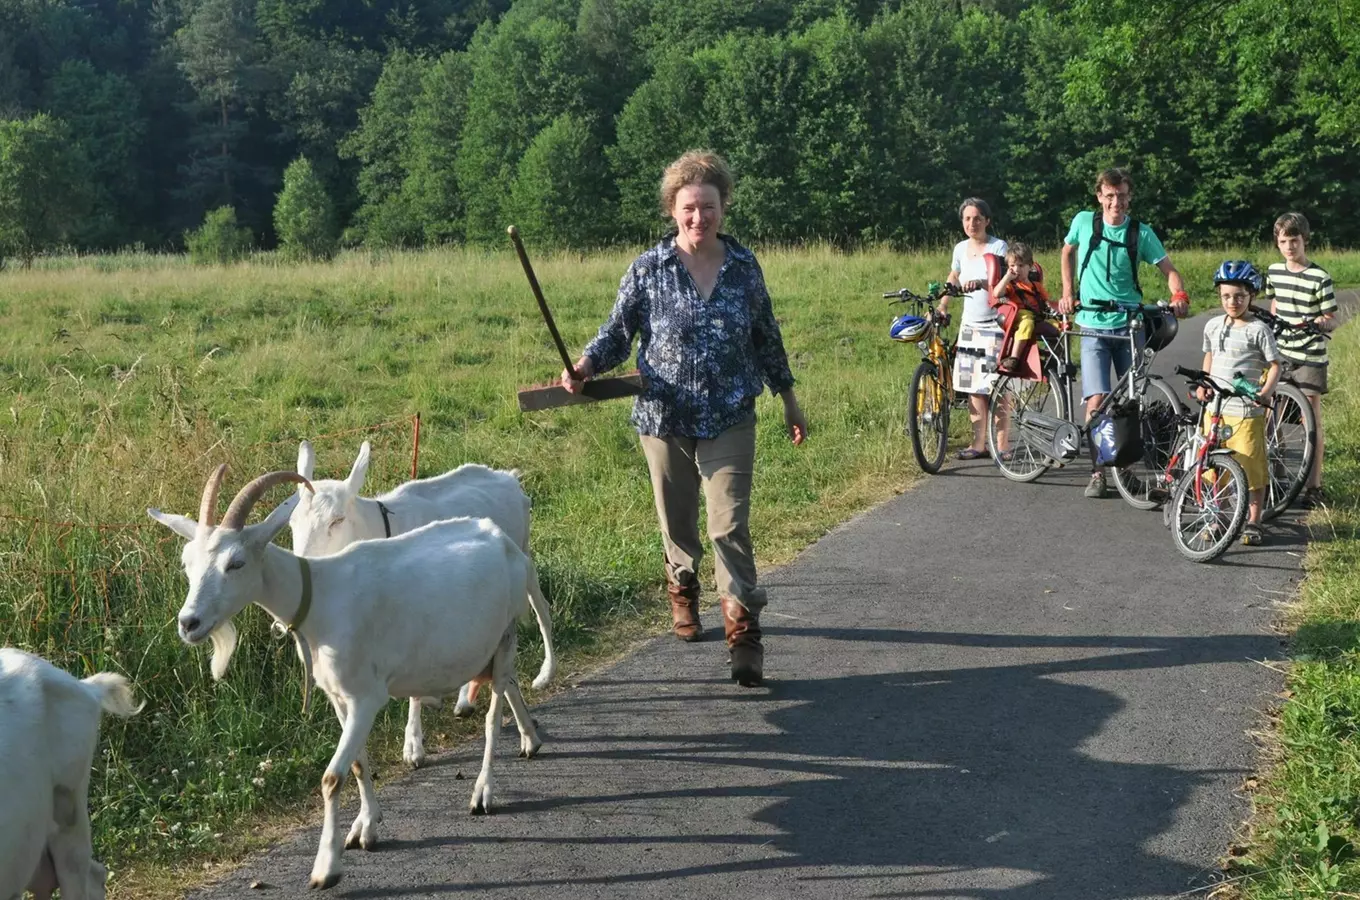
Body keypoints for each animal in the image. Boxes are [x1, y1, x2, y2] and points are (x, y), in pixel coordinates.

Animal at [292, 440, 552, 766]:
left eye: (336, 520)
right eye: (291, 523)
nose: (303, 568)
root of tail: (508, 477)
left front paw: (413, 745)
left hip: (523, 554)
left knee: (542, 609)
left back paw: (545, 673)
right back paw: (466, 699)